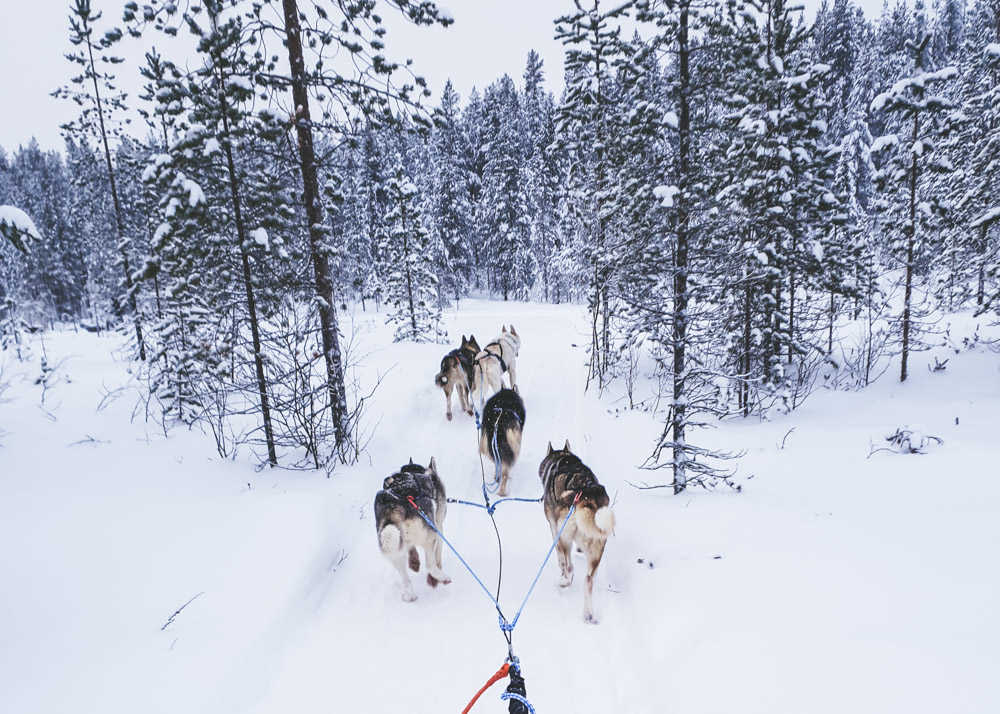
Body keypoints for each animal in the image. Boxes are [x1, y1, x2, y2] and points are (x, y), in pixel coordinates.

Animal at [376, 456, 454, 600]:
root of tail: (393, 505)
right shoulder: (439, 528)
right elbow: (438, 556)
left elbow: (412, 551)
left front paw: (414, 562)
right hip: (430, 536)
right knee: (430, 565)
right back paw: (442, 577)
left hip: (392, 547)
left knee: (405, 577)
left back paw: (409, 594)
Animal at [540, 442, 608, 620]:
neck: (563, 460)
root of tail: (586, 494)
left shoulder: (554, 528)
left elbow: (561, 558)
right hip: (597, 549)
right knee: (588, 580)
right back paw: (588, 614)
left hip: (564, 535)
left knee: (569, 566)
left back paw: (565, 580)